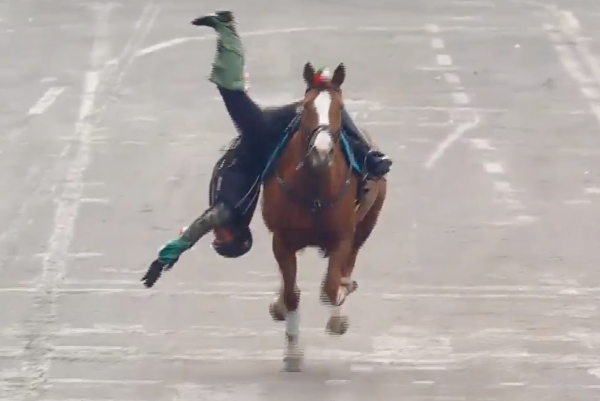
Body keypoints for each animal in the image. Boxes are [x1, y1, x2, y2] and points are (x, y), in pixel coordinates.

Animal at [262, 62, 390, 372]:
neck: (315, 186)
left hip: (368, 221)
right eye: (307, 106)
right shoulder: (282, 239)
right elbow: (291, 293)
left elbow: (332, 286)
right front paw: (293, 352)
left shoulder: (342, 236)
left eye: (339, 107)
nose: (321, 152)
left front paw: (338, 304)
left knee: (348, 263)